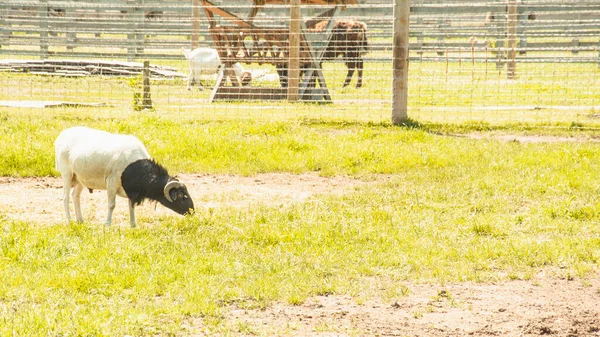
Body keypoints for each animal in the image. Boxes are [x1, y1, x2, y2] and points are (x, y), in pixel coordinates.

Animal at [55, 127, 193, 227]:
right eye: (182, 196)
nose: (192, 211)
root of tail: (61, 135)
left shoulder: (131, 189)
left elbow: (131, 206)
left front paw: (133, 225)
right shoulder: (112, 183)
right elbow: (111, 205)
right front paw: (108, 224)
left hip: (80, 178)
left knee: (75, 196)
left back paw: (80, 220)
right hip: (67, 174)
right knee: (66, 198)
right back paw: (69, 221)